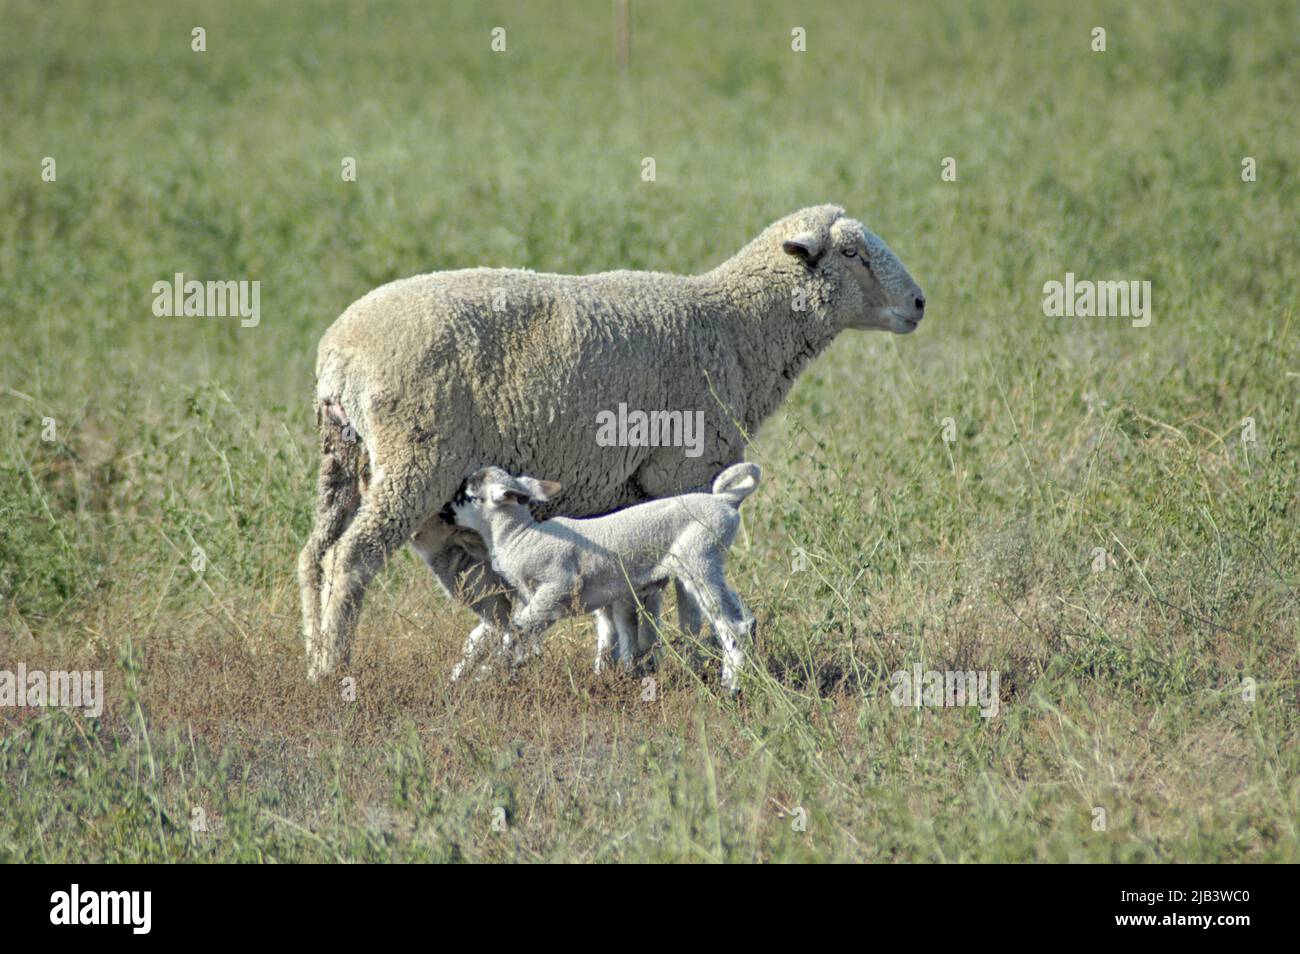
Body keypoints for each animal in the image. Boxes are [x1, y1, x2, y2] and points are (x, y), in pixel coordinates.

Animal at [449, 463, 762, 691]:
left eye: (468, 495)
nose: (446, 512)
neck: (520, 536)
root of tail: (726, 500)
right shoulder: (554, 602)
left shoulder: (557, 588)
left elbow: (515, 631)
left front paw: (485, 676)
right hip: (710, 563)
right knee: (743, 617)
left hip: (698, 560)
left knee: (732, 625)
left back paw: (731, 687)